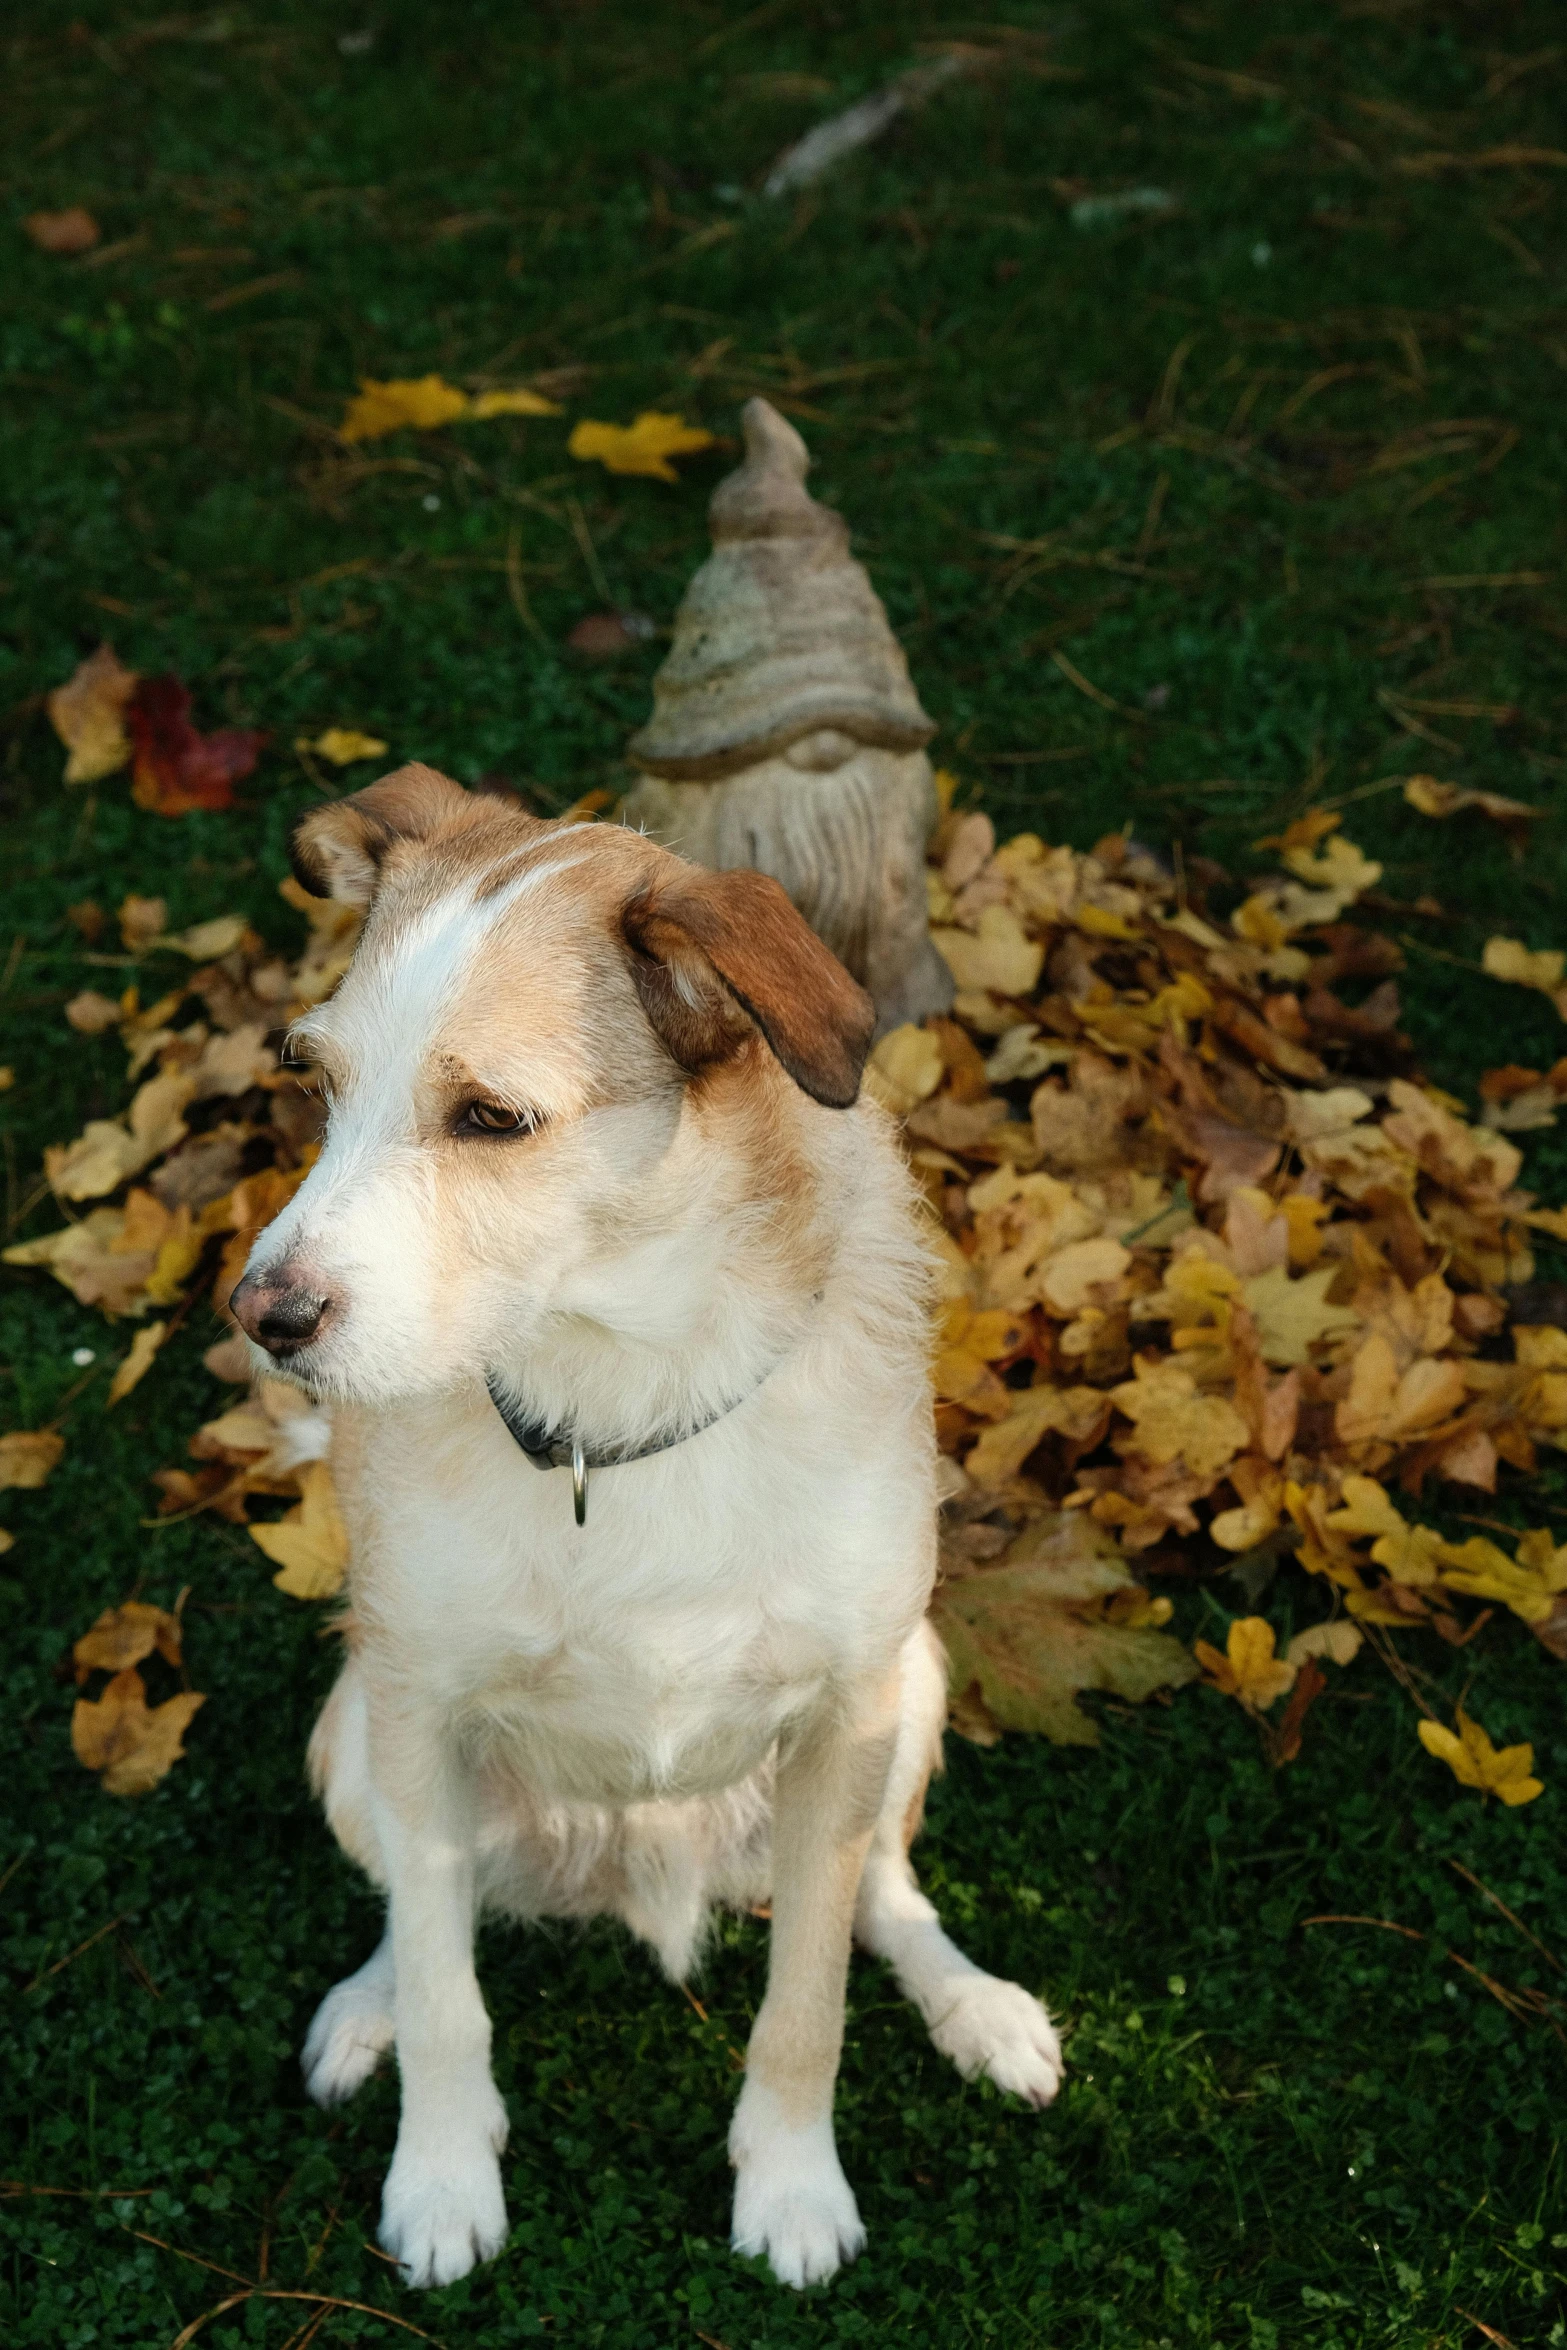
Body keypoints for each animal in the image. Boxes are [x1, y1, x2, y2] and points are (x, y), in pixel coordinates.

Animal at [230, 766, 1066, 2293]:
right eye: (317, 1081)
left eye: (492, 1118)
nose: (261, 1316)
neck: (614, 1400)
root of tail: (646, 1870)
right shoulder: (416, 1706)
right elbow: (445, 1990)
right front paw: (441, 2177)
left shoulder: (848, 1706)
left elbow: (808, 2002)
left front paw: (790, 2187)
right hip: (349, 1733)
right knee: (422, 1913)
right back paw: (365, 2005)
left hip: (912, 1686)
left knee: (879, 1892)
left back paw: (975, 2006)